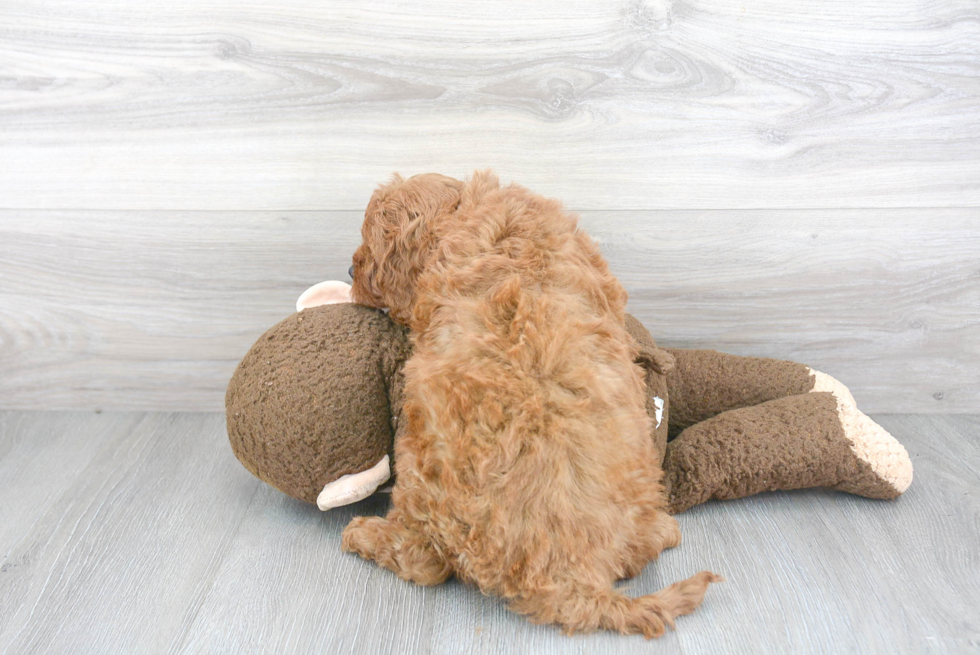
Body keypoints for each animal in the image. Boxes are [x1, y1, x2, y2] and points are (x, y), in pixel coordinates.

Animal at [344, 172, 720, 640]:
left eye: (369, 240)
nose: (350, 269)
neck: (464, 209)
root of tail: (572, 583)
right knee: (645, 547)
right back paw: (663, 529)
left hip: (420, 458)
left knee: (427, 562)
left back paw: (365, 535)